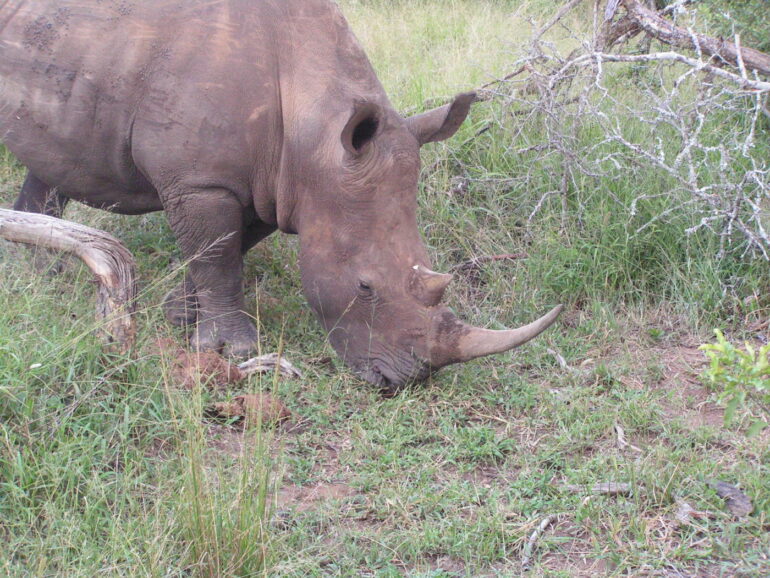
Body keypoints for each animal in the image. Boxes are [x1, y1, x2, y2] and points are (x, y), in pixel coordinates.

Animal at [0, 0, 562, 389]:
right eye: (364, 286)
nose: (407, 380)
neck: (315, 132)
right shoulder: (202, 181)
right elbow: (218, 258)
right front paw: (229, 348)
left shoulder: (273, 187)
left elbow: (224, 251)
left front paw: (178, 317)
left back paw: (38, 276)